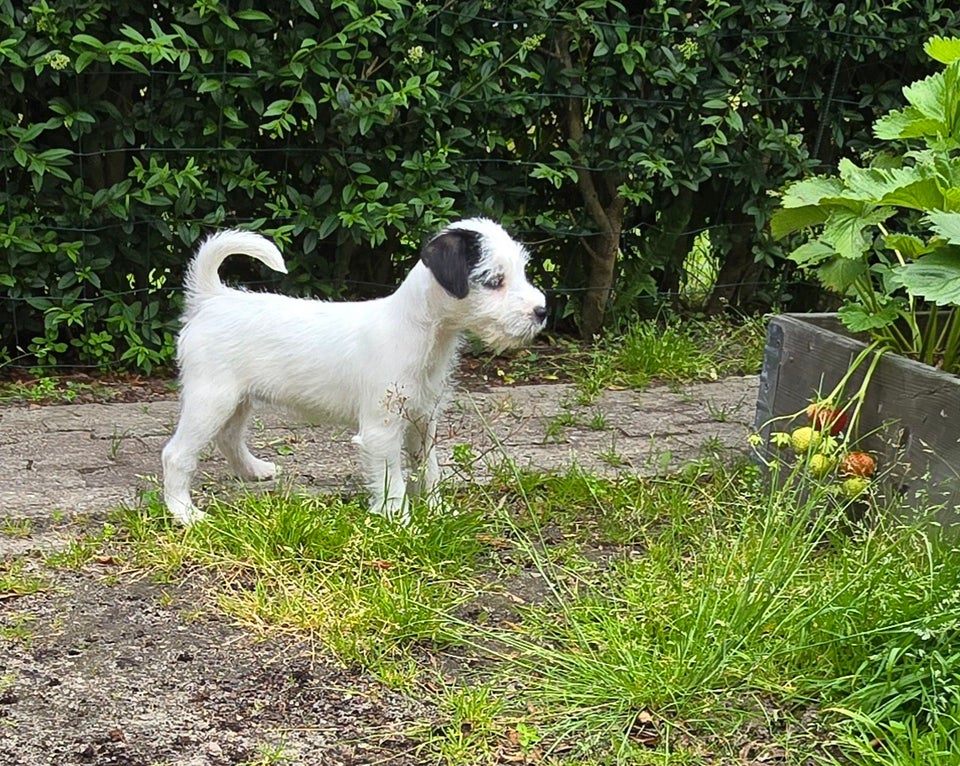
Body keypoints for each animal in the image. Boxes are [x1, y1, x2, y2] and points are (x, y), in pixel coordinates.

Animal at [165, 219, 548, 524]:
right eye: (494, 280)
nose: (542, 311)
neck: (422, 332)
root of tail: (213, 298)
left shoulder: (423, 420)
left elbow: (429, 469)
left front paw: (439, 510)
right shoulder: (382, 428)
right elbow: (393, 480)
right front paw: (399, 522)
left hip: (237, 399)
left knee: (229, 437)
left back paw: (255, 470)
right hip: (211, 398)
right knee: (176, 454)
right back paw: (184, 512)